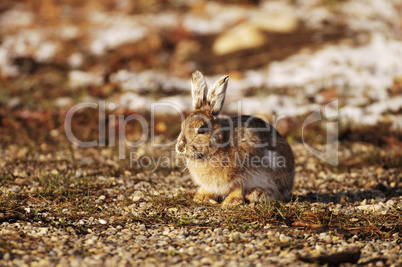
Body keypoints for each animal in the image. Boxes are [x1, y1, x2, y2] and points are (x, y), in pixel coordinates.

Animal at [174, 70, 294, 207]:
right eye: (182, 125)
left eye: (201, 130)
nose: (180, 147)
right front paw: (201, 198)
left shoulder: (244, 174)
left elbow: (238, 188)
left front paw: (231, 202)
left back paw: (257, 194)